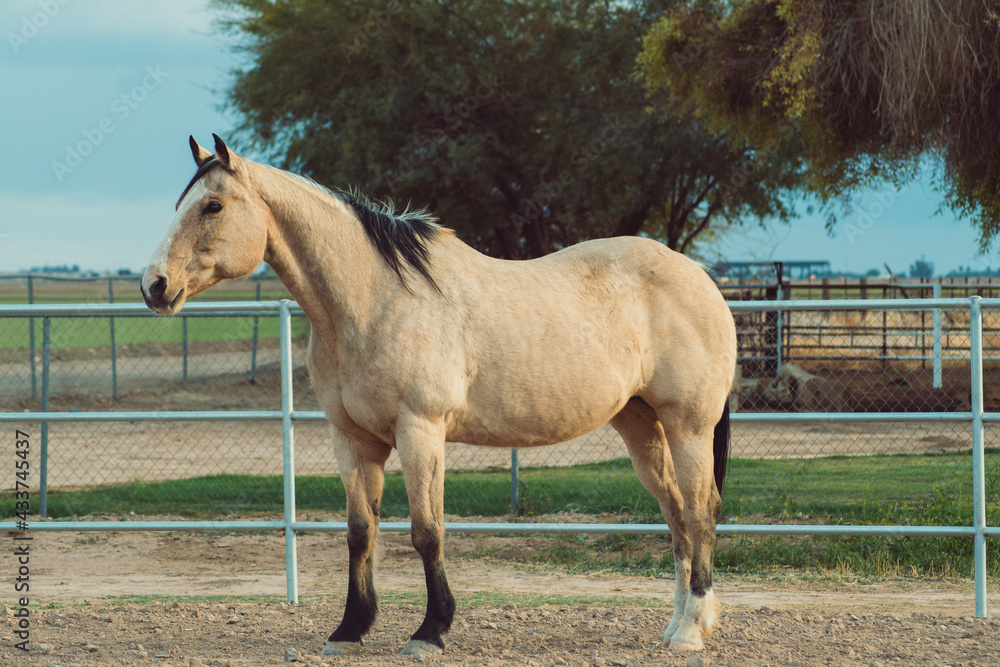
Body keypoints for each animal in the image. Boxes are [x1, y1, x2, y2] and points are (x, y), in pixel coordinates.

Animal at [141, 134, 737, 656]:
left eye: (212, 205)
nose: (154, 286)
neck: (373, 302)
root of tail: (699, 276)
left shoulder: (420, 431)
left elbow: (427, 532)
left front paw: (430, 631)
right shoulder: (352, 440)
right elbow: (360, 532)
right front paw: (349, 630)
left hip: (688, 425)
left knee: (700, 512)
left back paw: (690, 631)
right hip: (641, 426)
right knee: (677, 515)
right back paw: (679, 625)